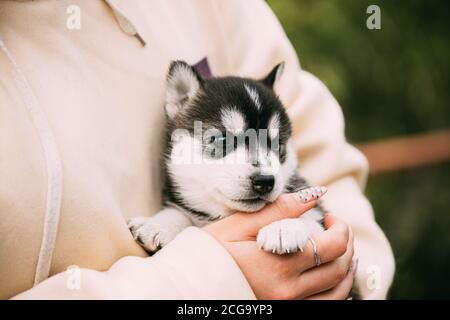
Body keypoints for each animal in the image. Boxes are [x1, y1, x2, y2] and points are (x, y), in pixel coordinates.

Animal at [128, 60, 326, 255]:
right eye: (222, 139)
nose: (265, 181)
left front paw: (283, 226)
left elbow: (310, 219)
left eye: (278, 144)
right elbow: (178, 212)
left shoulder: (319, 217)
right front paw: (157, 224)